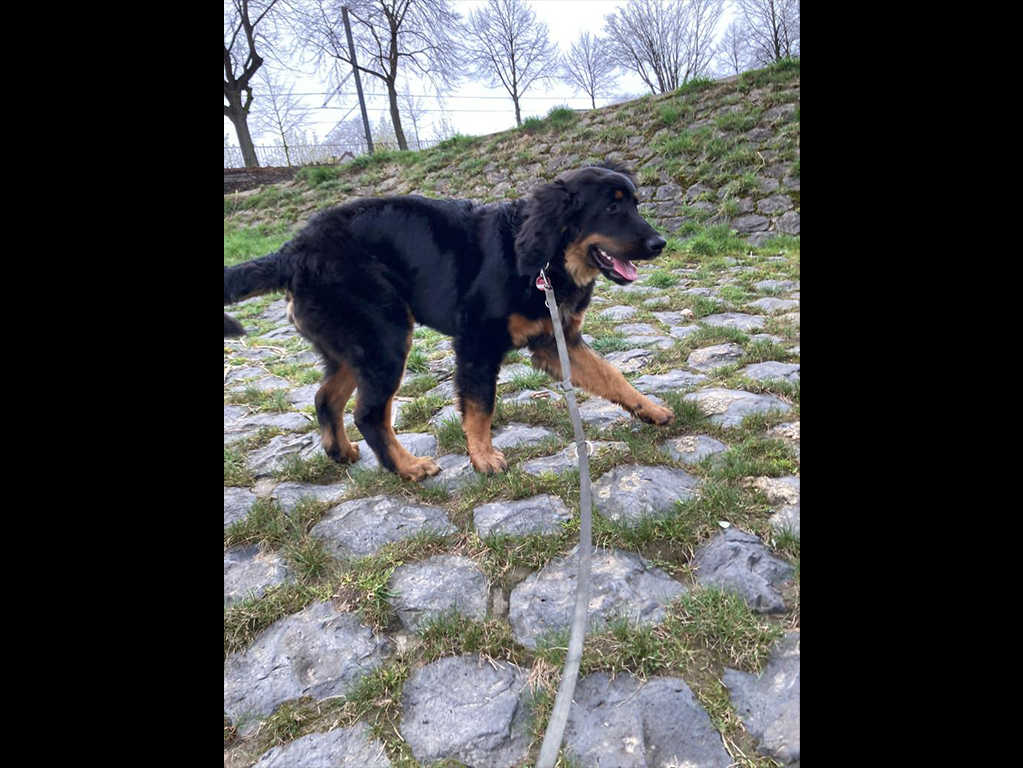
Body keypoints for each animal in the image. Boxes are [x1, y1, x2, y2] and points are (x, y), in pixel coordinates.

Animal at [224, 164, 675, 481]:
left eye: (635, 203)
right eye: (611, 207)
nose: (660, 243)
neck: (544, 260)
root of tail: (293, 249)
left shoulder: (557, 341)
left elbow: (613, 376)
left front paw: (650, 409)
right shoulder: (476, 344)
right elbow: (479, 407)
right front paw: (483, 457)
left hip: (357, 348)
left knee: (325, 398)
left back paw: (342, 452)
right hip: (386, 340)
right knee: (368, 413)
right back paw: (406, 467)